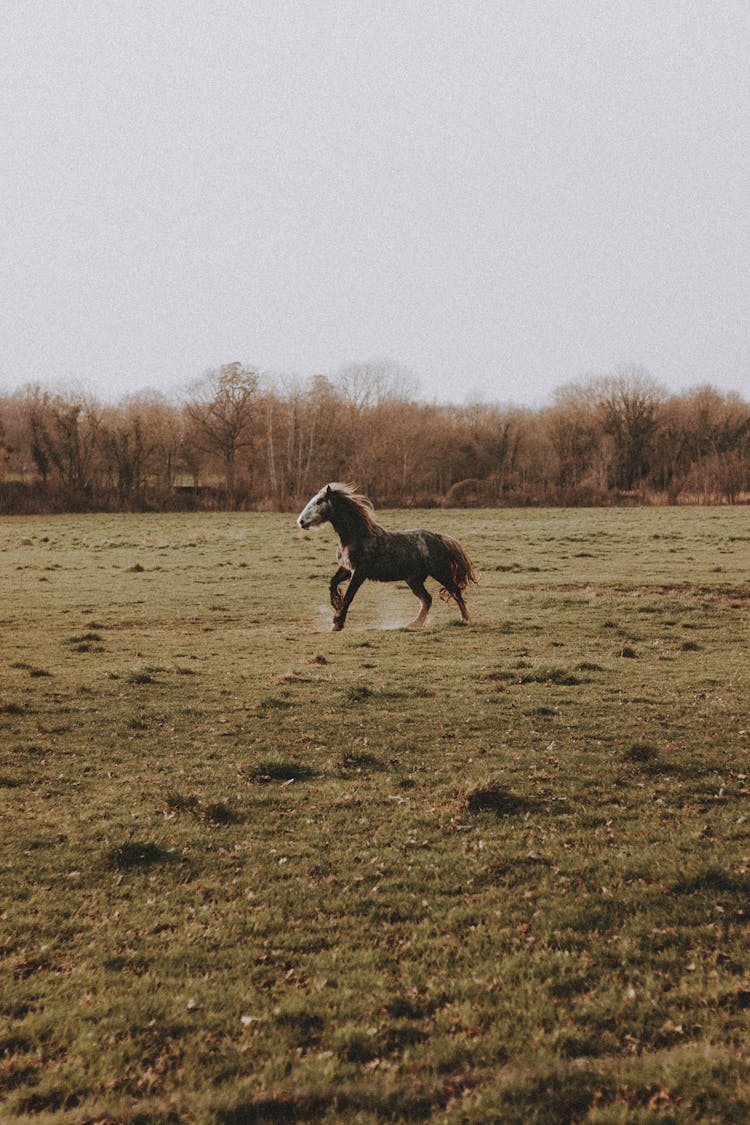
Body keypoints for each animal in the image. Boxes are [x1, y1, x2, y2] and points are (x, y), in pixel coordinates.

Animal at [296, 479, 479, 630]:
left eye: (319, 501)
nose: (301, 522)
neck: (358, 536)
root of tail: (438, 538)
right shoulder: (347, 569)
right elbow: (332, 583)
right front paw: (336, 606)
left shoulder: (359, 572)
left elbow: (349, 596)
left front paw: (337, 623)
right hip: (414, 580)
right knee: (427, 599)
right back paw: (414, 623)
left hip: (440, 573)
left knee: (455, 591)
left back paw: (465, 619)